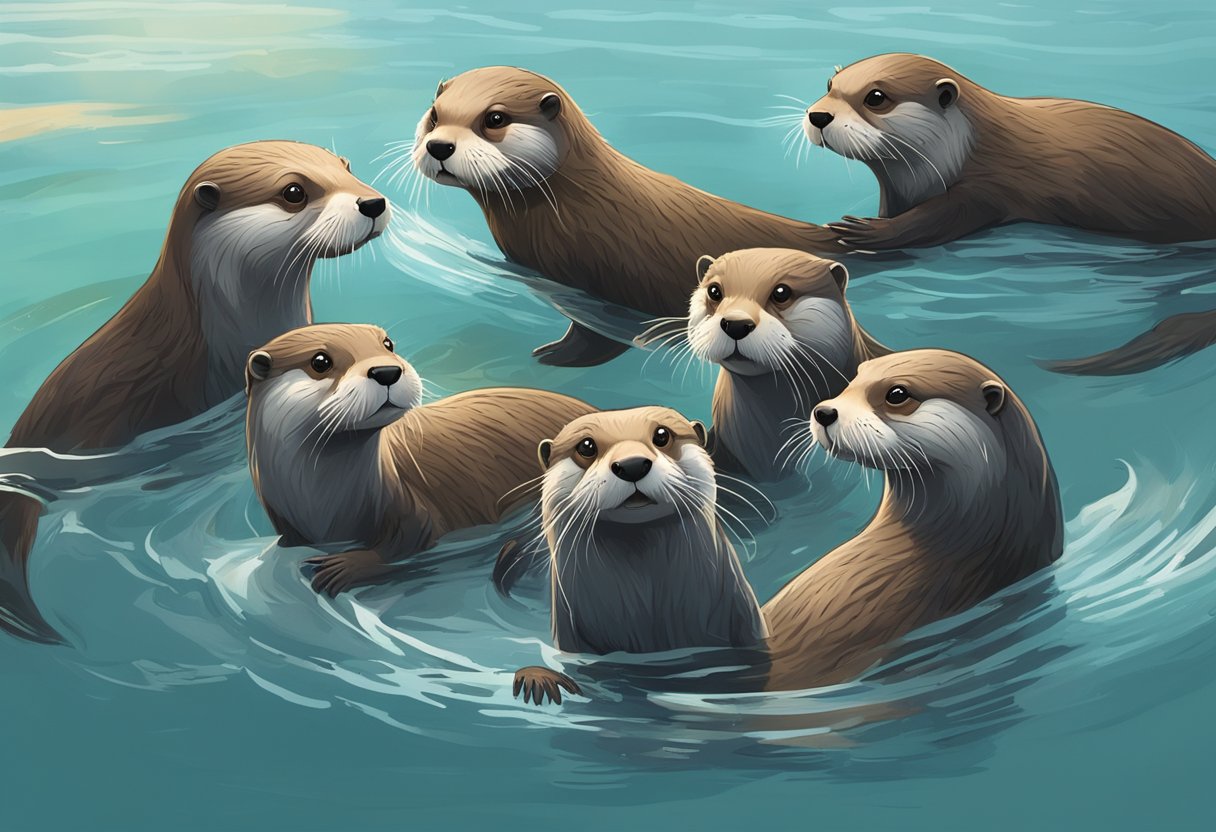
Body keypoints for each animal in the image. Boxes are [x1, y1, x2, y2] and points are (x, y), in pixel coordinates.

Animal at [244, 323, 596, 595]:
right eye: (320, 361)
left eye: (387, 344)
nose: (387, 370)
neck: (321, 502)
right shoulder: (288, 523)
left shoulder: (410, 506)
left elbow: (409, 541)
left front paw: (348, 564)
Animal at [410, 66, 841, 367]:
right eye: (434, 114)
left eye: (494, 119)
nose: (439, 145)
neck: (584, 208)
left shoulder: (614, 279)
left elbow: (601, 335)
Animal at [801, 53, 1216, 249]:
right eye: (830, 85)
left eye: (876, 97)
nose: (819, 115)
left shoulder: (994, 183)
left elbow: (944, 217)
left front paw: (868, 232)